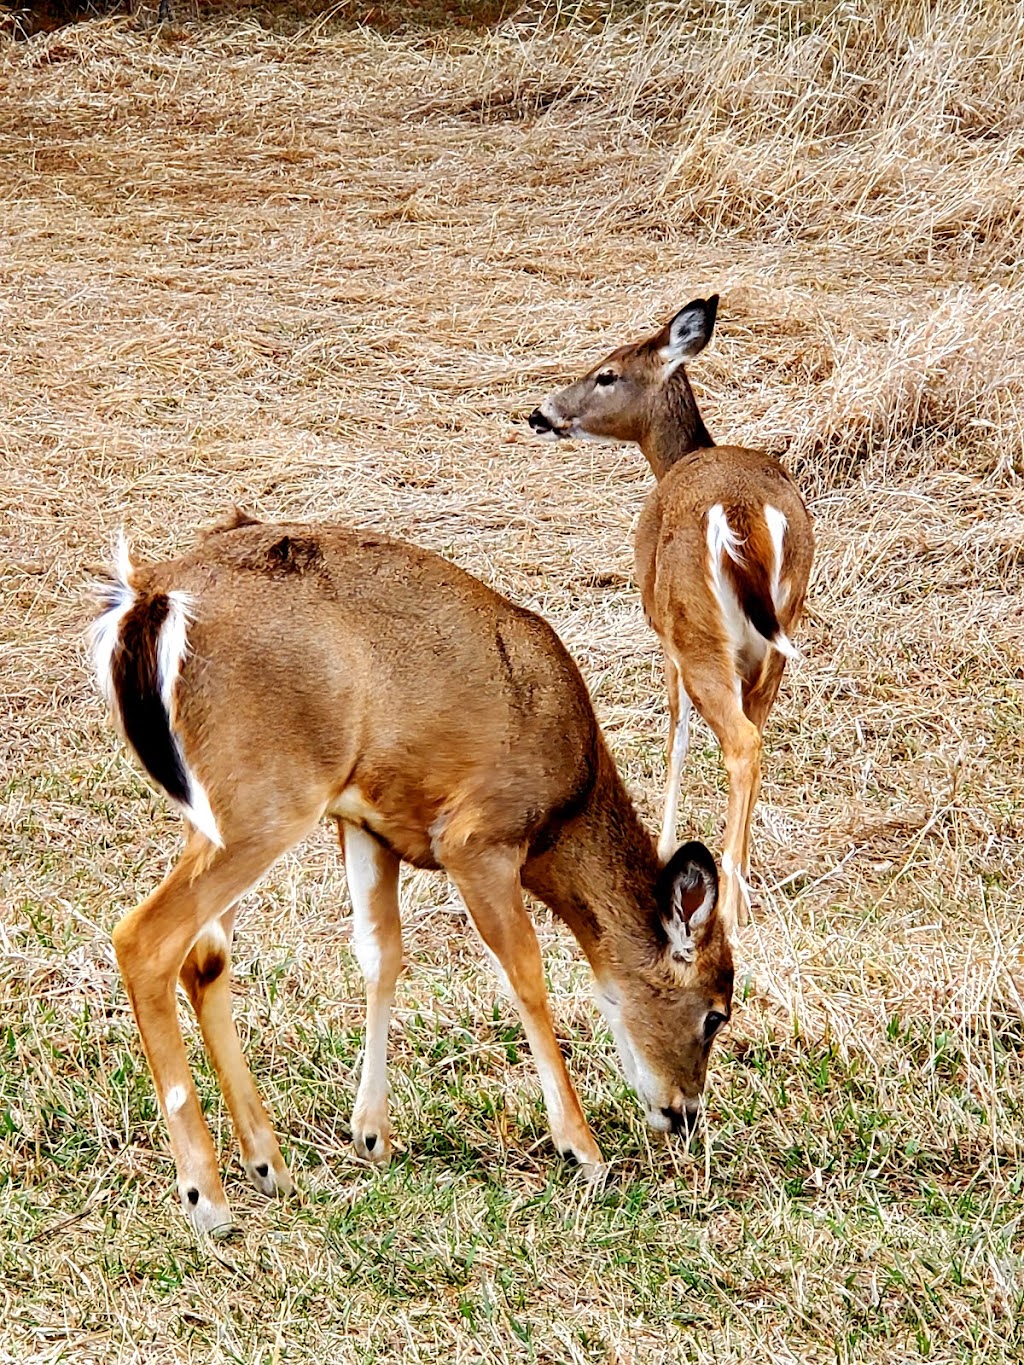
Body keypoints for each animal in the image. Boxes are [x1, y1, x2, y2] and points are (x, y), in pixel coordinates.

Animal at [86, 513, 731, 1239]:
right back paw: (207, 1198)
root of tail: (149, 596)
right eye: (715, 1014)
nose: (685, 1113)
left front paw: (371, 1133)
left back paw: (268, 1164)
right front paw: (582, 1149)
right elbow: (526, 972)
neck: (564, 809)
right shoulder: (477, 837)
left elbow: (381, 953)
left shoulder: (368, 822)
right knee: (145, 938)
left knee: (206, 958)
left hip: (216, 808)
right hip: (267, 796)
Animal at [529, 296, 819, 939]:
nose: (541, 413)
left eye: (607, 373)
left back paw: (726, 907)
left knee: (739, 741)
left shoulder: (663, 631)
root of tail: (741, 514)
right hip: (778, 635)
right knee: (755, 736)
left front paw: (663, 851)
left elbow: (675, 736)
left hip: (695, 628)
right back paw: (738, 892)